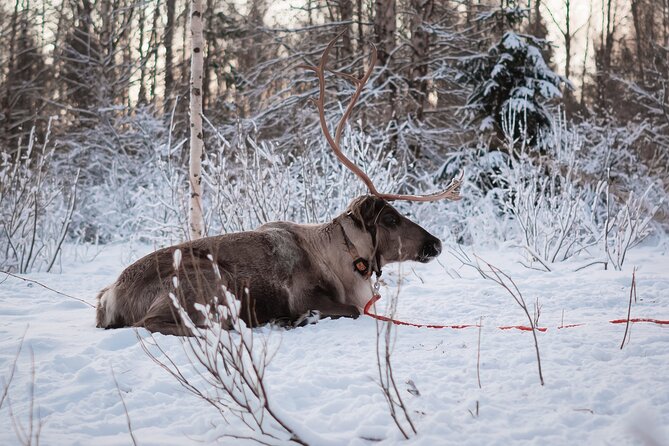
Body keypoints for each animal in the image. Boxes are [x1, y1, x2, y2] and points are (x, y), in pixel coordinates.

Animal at [95, 34, 462, 336]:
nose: (436, 243)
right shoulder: (309, 297)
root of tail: (109, 295)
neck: (344, 264)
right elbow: (350, 311)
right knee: (156, 323)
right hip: (204, 283)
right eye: (390, 218)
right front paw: (295, 319)